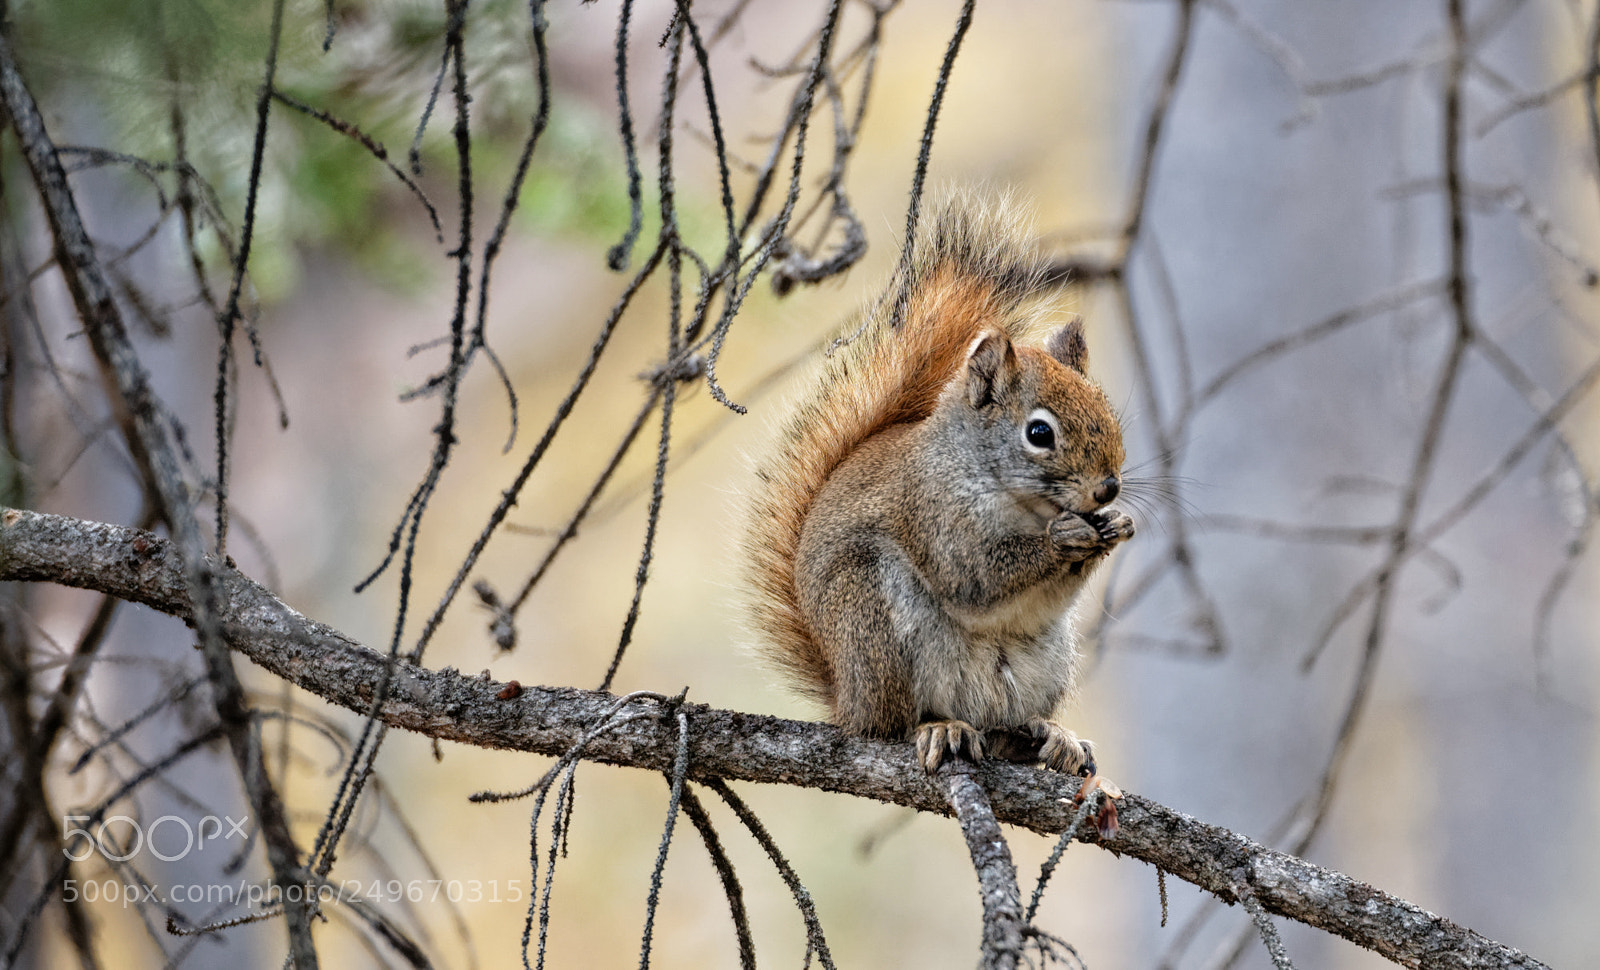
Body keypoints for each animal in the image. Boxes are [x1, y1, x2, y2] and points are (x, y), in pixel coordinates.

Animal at [744, 192, 1133, 775]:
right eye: (1039, 432)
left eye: (1108, 412)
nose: (1107, 489)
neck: (1020, 503)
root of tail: (846, 699)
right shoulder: (932, 515)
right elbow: (976, 578)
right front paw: (1065, 539)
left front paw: (1114, 526)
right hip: (876, 623)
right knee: (896, 724)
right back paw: (938, 728)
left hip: (1046, 661)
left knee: (1004, 732)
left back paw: (1048, 734)